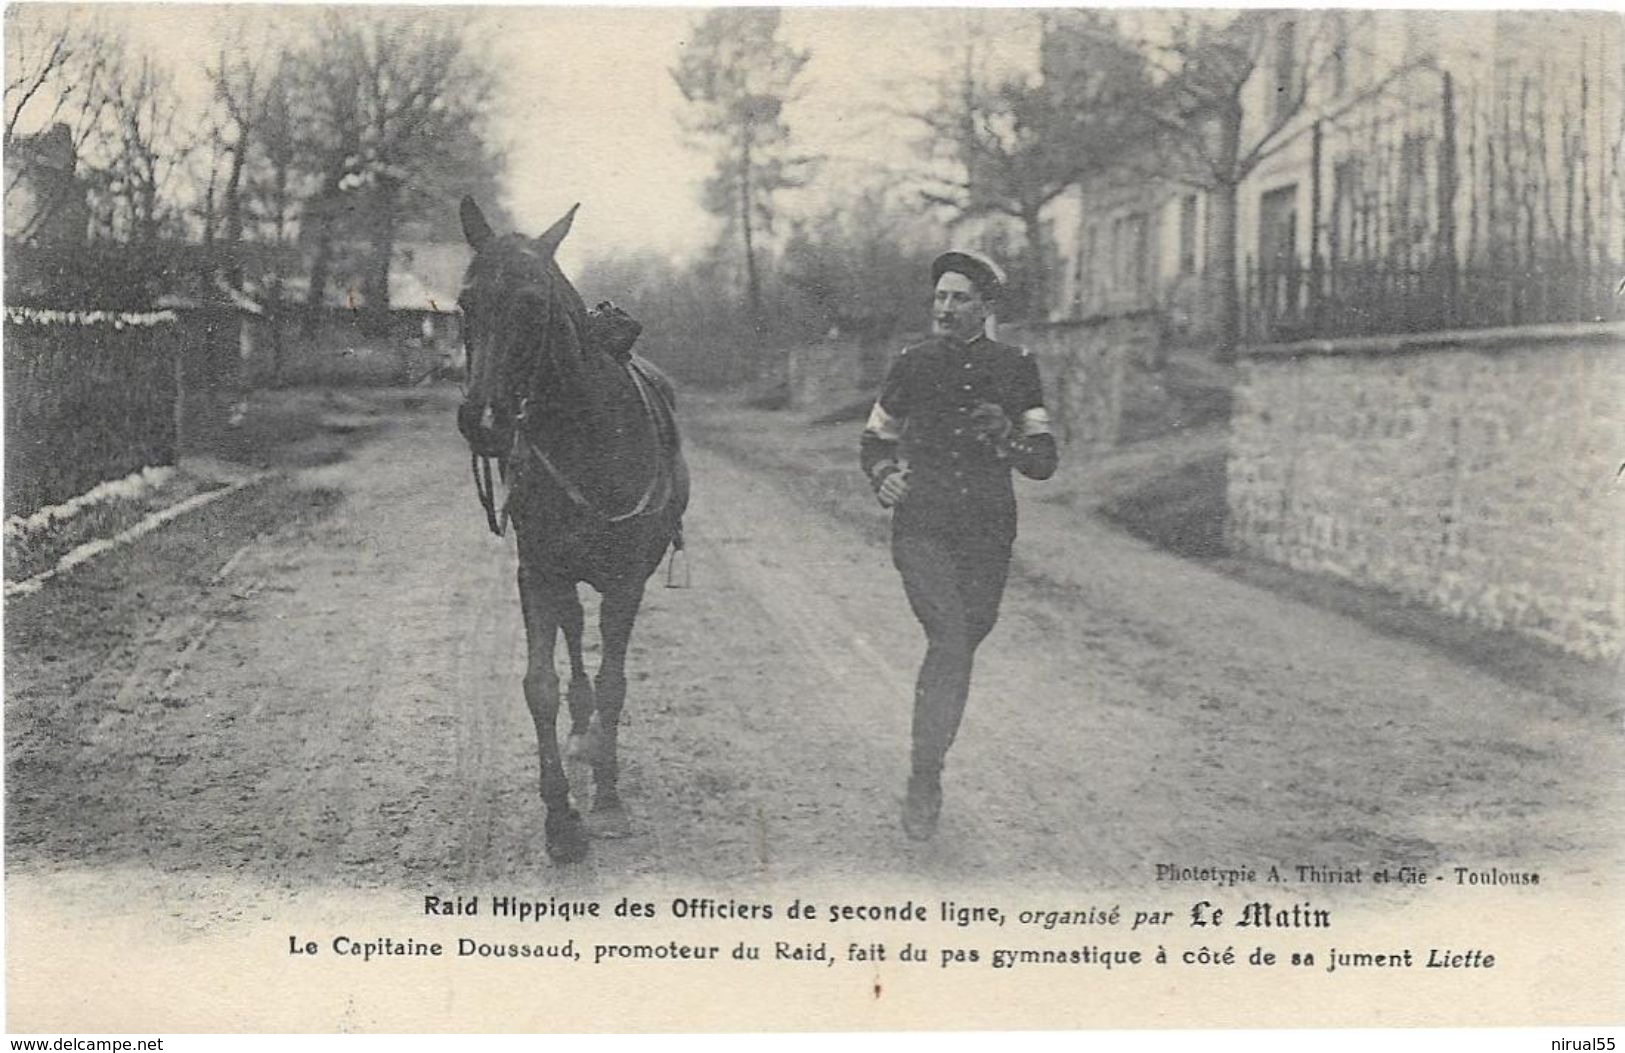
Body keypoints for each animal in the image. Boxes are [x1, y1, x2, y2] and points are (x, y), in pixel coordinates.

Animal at [455, 199, 689, 864]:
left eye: (534, 304)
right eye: (465, 303)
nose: (484, 420)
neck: (589, 436)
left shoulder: (627, 581)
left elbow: (614, 683)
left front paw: (606, 799)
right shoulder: (538, 572)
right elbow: (540, 684)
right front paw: (560, 817)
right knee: (573, 633)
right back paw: (581, 734)